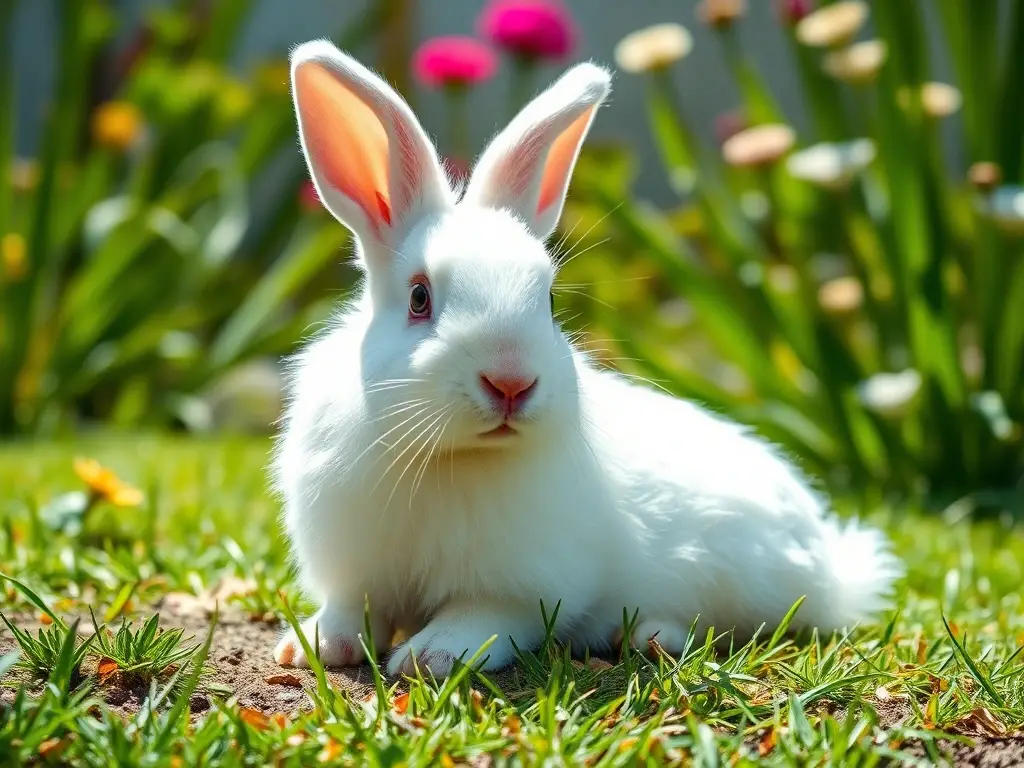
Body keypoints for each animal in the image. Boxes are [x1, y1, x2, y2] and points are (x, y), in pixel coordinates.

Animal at [271, 39, 904, 679]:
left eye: (549, 300)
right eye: (419, 297)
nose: (511, 382)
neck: (450, 456)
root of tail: (832, 565)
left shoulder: (521, 589)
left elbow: (481, 618)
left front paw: (429, 657)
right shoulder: (356, 571)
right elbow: (352, 607)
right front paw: (313, 645)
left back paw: (650, 636)